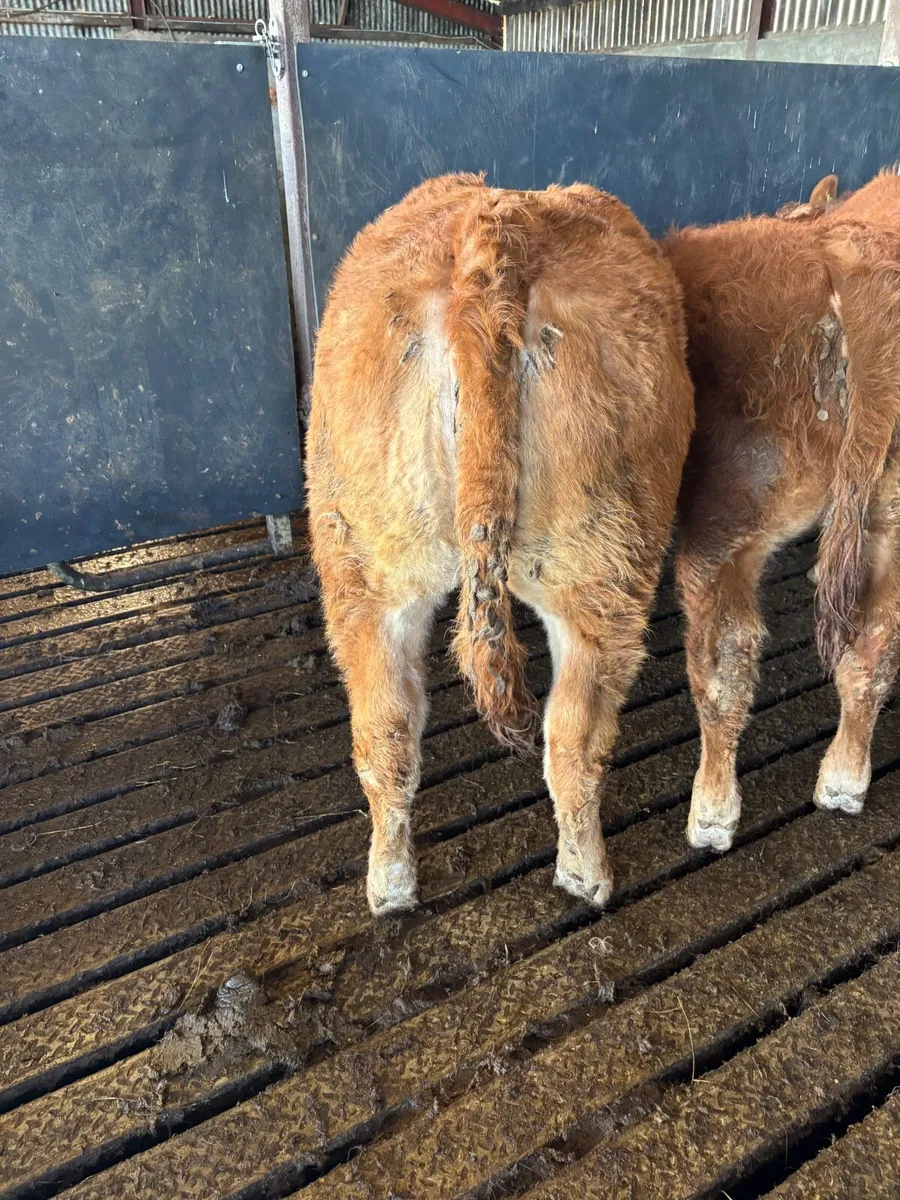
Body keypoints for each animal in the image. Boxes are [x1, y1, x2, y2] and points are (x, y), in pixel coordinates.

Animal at [307, 174, 694, 916]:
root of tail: (488, 252)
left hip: (365, 561)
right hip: (604, 563)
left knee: (385, 728)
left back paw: (391, 887)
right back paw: (586, 876)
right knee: (573, 735)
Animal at [663, 168, 900, 853]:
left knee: (724, 665)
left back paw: (712, 815)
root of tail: (845, 260)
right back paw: (844, 781)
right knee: (875, 641)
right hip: (887, 507)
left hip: (723, 521)